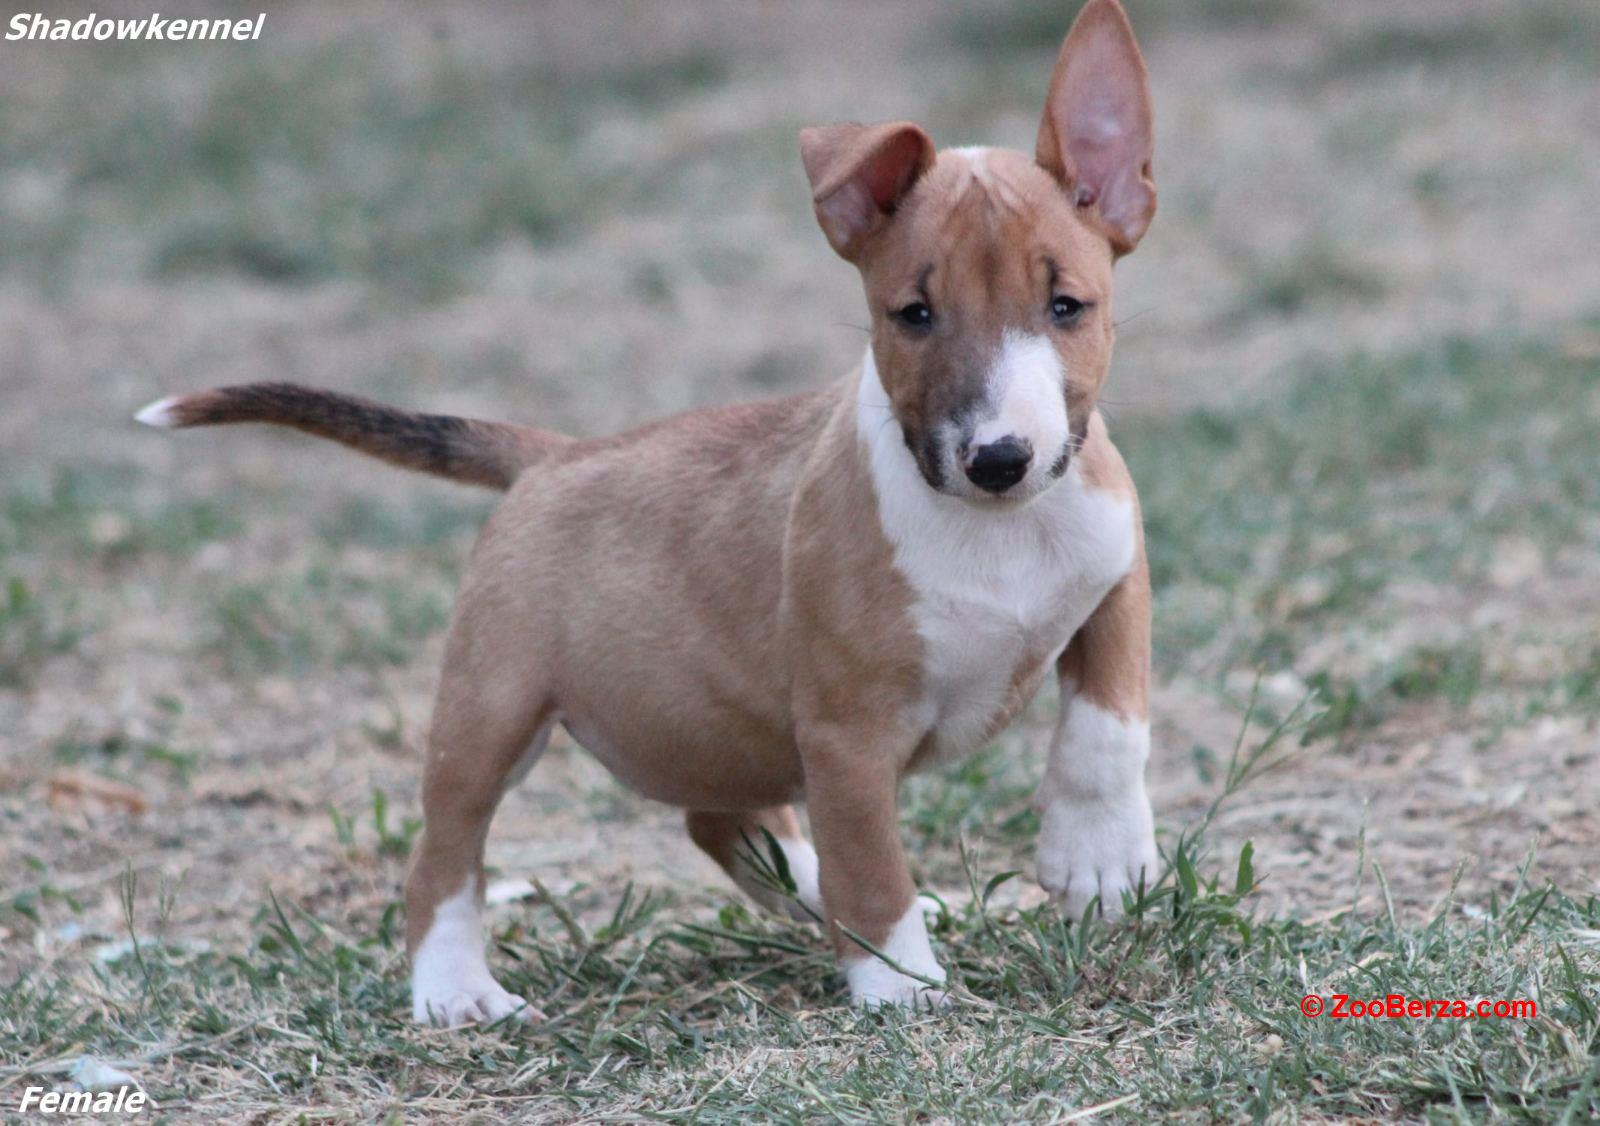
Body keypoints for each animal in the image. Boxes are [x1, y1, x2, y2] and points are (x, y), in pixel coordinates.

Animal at [137, 0, 1158, 1023]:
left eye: (1068, 305)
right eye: (912, 314)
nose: (999, 459)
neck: (995, 531)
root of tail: (552, 456)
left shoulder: (1117, 571)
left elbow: (1107, 725)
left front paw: (1100, 861)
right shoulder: (848, 733)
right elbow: (873, 865)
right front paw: (899, 990)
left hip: (711, 726)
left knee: (725, 822)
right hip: (491, 711)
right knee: (445, 855)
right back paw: (458, 990)